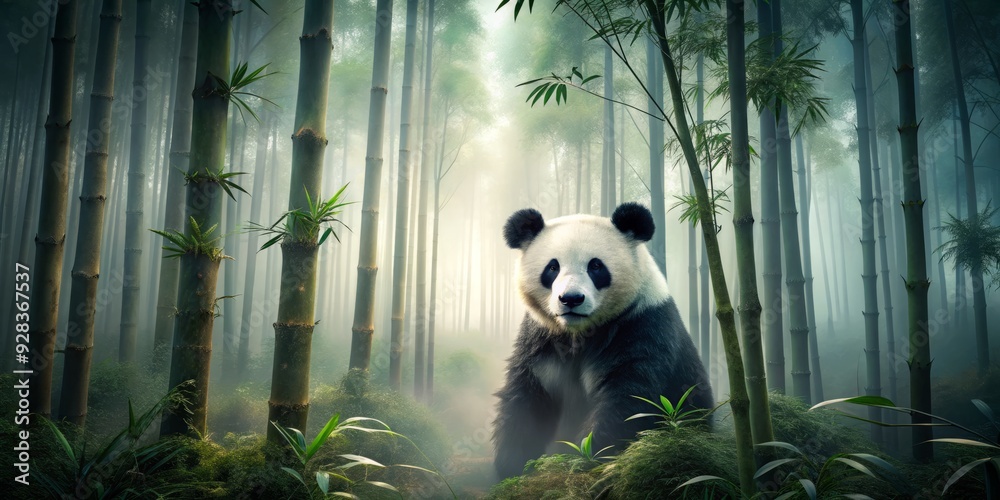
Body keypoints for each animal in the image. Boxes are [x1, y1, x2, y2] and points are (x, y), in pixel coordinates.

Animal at [492, 202, 714, 479]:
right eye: (552, 267)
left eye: (596, 266)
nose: (571, 299)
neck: (579, 332)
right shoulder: (541, 339)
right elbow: (528, 395)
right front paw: (512, 464)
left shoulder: (641, 326)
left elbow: (627, 399)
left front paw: (583, 458)